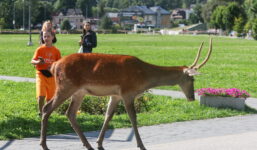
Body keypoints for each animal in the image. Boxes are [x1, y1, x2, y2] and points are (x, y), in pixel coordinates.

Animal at [39, 38, 212, 149]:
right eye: (191, 79)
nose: (192, 97)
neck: (144, 77)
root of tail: (54, 65)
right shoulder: (128, 92)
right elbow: (133, 118)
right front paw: (141, 145)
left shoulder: (116, 95)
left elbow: (108, 115)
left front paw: (99, 143)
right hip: (66, 86)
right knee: (47, 108)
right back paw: (44, 144)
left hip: (79, 92)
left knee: (70, 113)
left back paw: (87, 145)